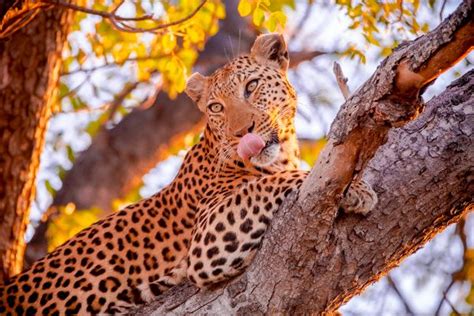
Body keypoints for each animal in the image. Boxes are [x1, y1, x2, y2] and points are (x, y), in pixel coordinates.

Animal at [0, 32, 378, 314]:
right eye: (216, 107)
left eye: (252, 86)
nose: (242, 133)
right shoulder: (209, 236)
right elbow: (274, 182)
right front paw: (358, 189)